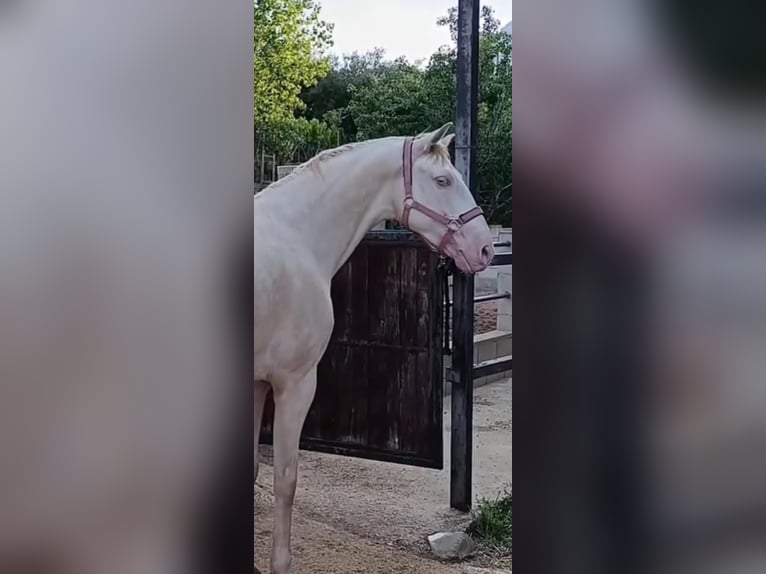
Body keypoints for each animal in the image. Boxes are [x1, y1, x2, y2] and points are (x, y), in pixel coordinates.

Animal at [255, 125, 496, 574]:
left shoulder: (258, 384)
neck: (296, 237)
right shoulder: (295, 385)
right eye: (443, 180)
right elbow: (285, 478)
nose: (486, 249)